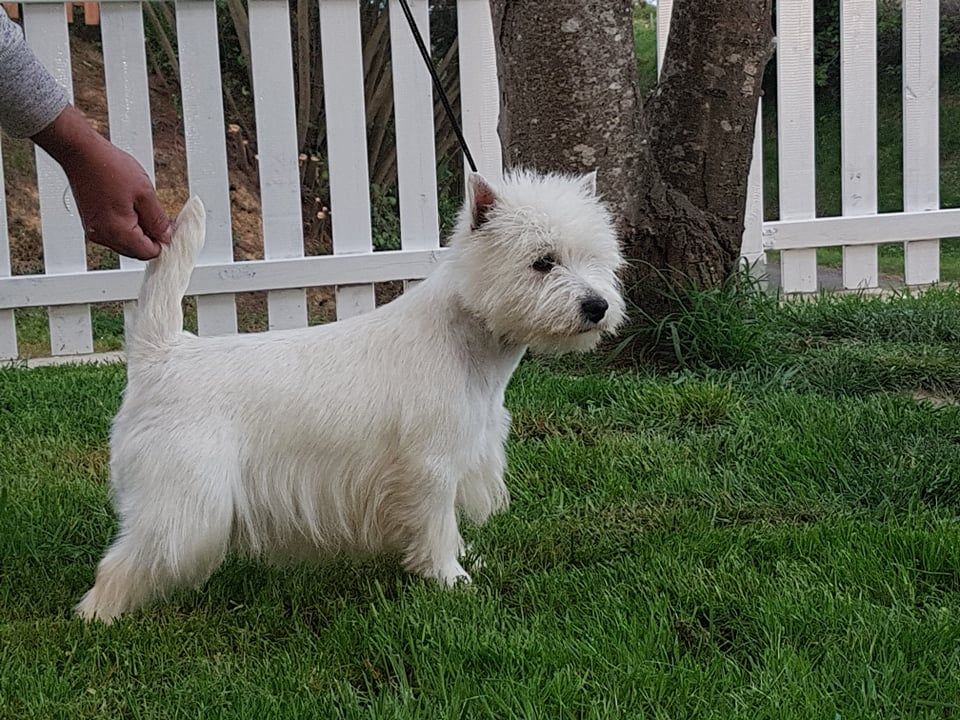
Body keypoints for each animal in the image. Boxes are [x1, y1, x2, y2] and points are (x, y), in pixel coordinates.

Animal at [79, 169, 628, 620]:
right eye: (543, 262)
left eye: (596, 259)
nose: (597, 306)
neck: (470, 342)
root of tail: (160, 352)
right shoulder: (429, 465)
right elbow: (435, 523)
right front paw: (451, 578)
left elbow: (445, 523)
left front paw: (461, 558)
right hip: (184, 498)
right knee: (124, 561)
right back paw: (98, 618)